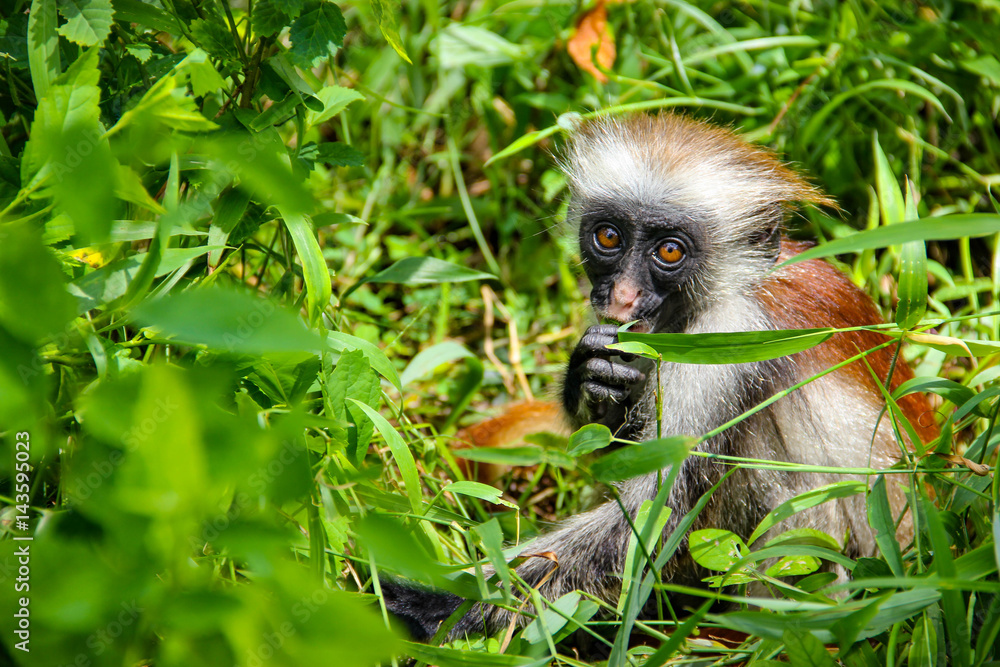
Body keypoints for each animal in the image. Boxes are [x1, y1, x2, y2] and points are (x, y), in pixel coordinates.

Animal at [382, 114, 938, 642]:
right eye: (608, 237)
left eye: (669, 251)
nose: (622, 296)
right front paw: (594, 379)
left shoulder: (725, 341)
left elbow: (647, 526)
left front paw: (434, 605)